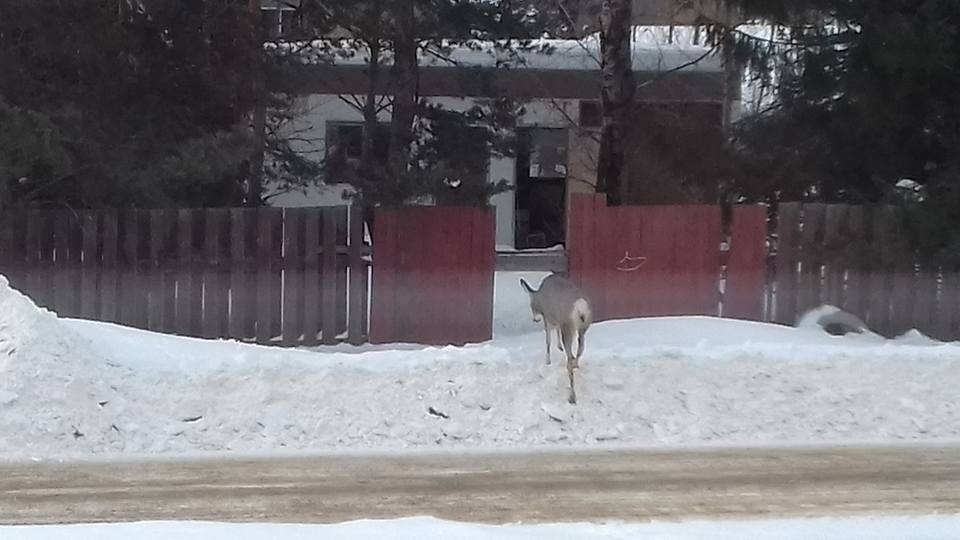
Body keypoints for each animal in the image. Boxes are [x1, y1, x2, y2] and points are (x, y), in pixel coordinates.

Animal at [516, 274, 592, 404]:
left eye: (531, 306)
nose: (535, 319)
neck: (540, 295)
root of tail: (580, 308)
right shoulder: (556, 320)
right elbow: (556, 331)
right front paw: (559, 347)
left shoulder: (547, 316)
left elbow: (547, 340)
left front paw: (548, 361)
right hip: (584, 327)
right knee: (580, 349)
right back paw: (576, 365)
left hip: (568, 326)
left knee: (570, 359)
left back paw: (572, 396)